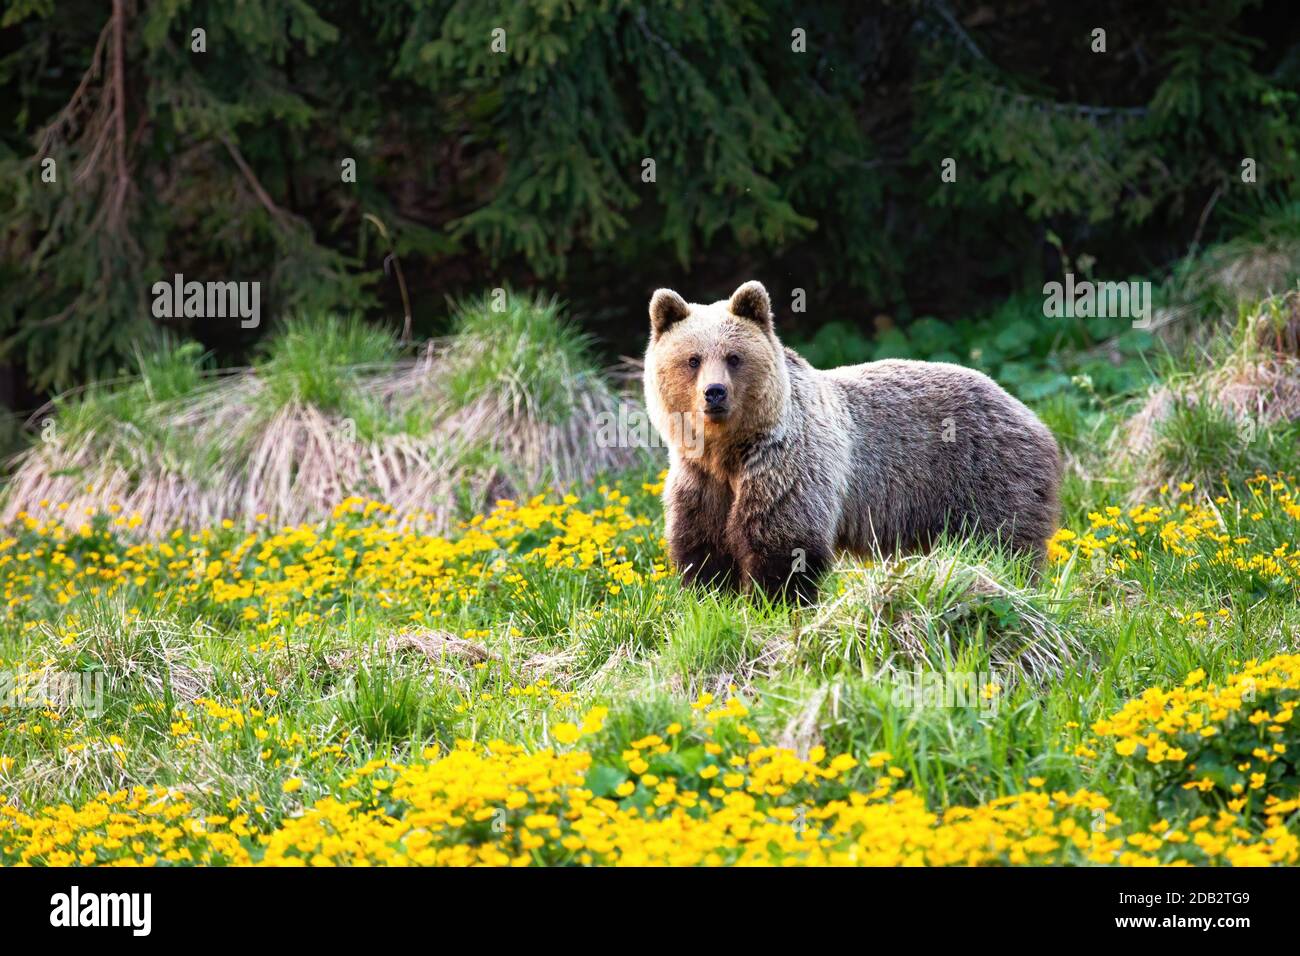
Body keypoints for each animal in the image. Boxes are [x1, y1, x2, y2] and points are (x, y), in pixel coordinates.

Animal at [644, 280, 1060, 600]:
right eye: (693, 359)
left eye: (733, 357)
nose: (714, 393)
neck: (730, 450)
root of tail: (1030, 414)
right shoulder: (699, 479)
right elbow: (703, 549)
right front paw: (713, 597)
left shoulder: (787, 467)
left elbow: (784, 545)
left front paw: (772, 602)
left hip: (985, 474)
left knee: (1003, 542)